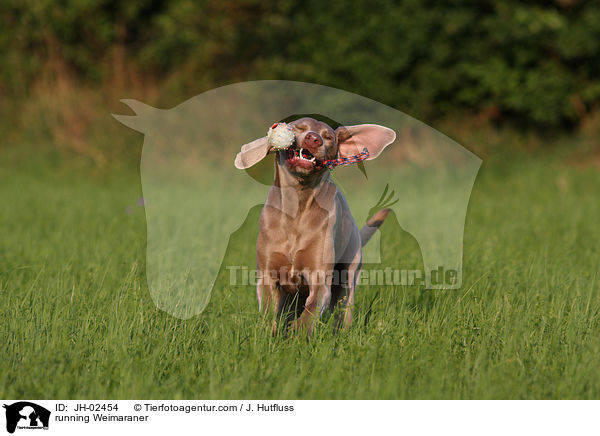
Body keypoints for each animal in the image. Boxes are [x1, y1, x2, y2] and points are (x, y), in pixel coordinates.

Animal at [236, 117, 398, 332]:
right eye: (299, 128)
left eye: (328, 137)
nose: (313, 139)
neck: (297, 205)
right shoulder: (267, 275)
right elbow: (269, 313)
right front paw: (268, 335)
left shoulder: (320, 279)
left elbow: (309, 313)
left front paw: (297, 334)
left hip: (348, 276)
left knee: (343, 309)